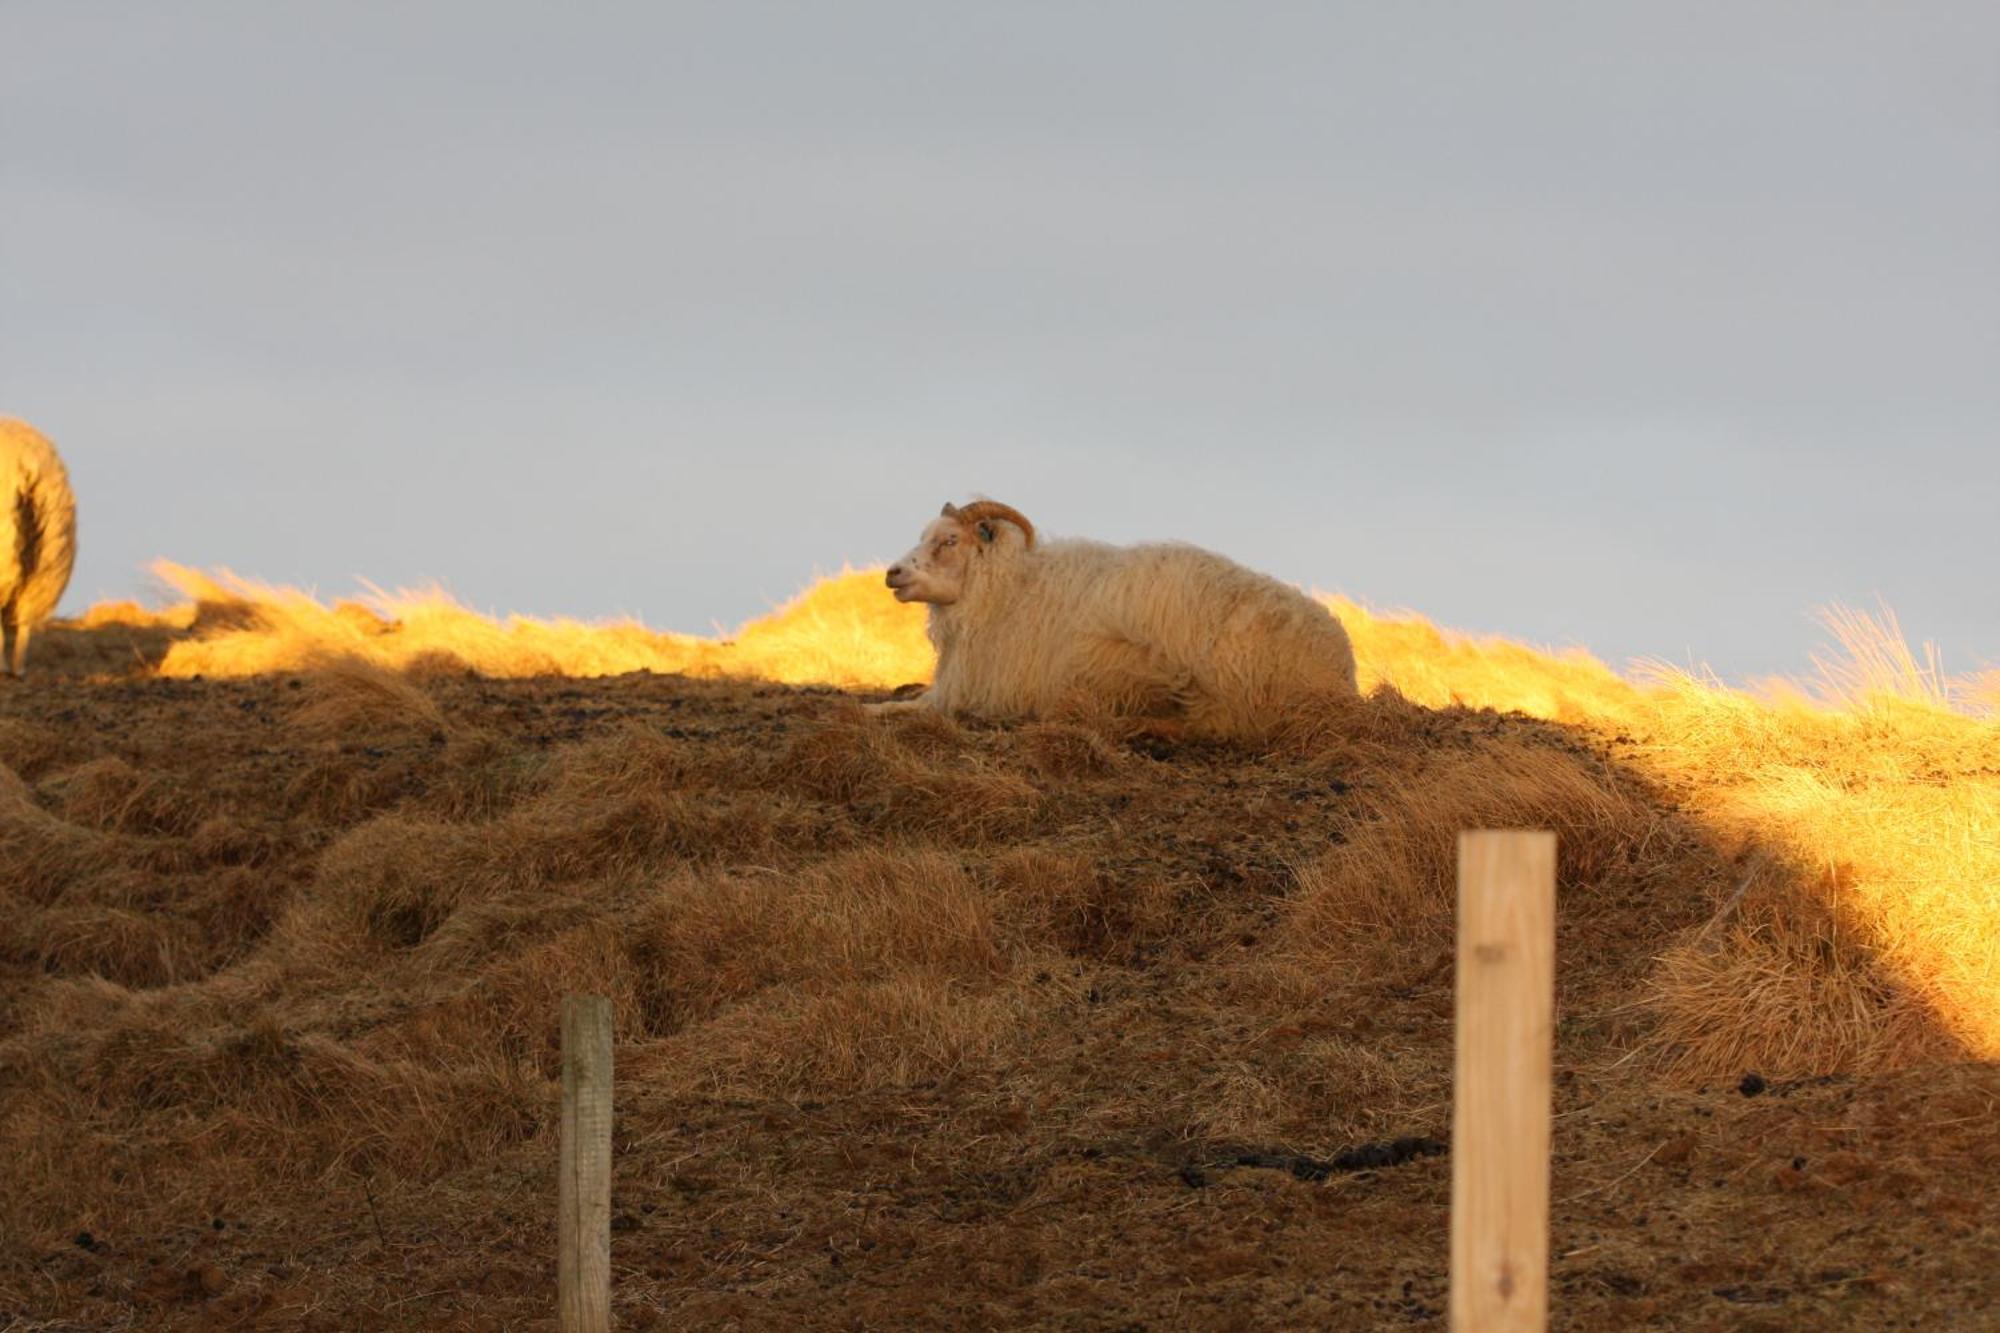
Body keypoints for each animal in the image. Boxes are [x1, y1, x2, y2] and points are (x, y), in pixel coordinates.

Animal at [880, 504, 1360, 740]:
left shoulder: (982, 691)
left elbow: (895, 708)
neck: (1008, 588)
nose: (893, 573)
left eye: (948, 540)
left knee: (1208, 727)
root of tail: (1341, 662)